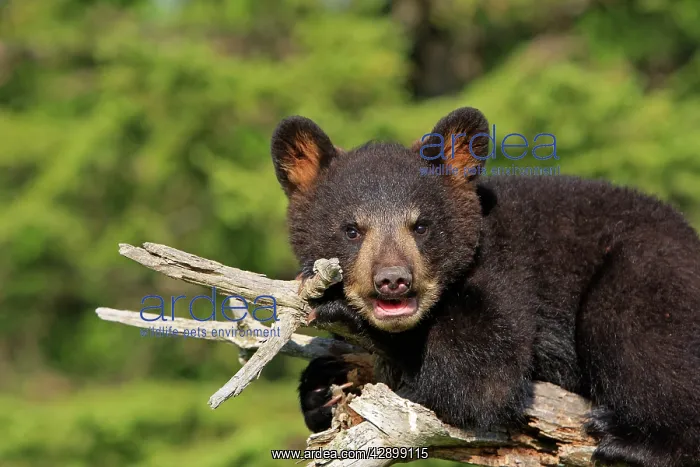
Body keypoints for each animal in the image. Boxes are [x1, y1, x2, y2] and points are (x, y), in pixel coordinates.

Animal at [270, 107, 700, 467]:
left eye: (421, 225)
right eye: (352, 229)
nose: (393, 280)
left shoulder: (504, 270)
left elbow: (480, 377)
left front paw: (344, 314)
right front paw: (321, 387)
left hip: (647, 270)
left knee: (636, 334)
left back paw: (631, 441)